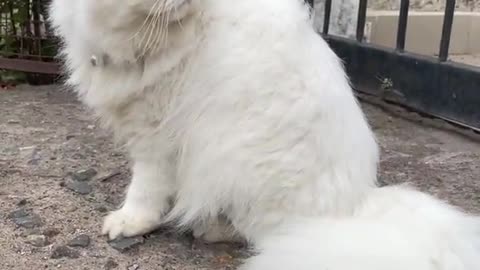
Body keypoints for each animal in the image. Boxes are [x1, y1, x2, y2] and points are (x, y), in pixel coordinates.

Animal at [50, 1, 478, 268]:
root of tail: (353, 207)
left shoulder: (155, 135)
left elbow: (144, 189)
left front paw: (129, 222)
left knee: (259, 233)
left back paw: (209, 228)